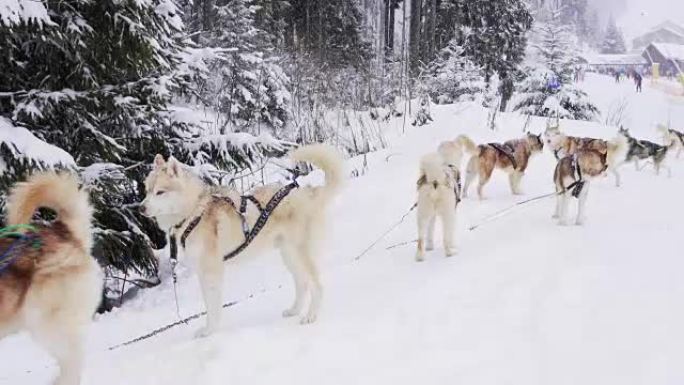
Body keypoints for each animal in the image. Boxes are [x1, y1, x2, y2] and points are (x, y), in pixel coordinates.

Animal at [140, 144, 342, 332]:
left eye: (160, 192)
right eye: (147, 190)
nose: (140, 208)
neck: (193, 213)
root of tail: (309, 192)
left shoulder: (211, 271)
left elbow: (212, 306)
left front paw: (209, 331)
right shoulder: (201, 271)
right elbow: (209, 304)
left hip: (301, 253)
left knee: (317, 286)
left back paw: (310, 316)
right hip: (289, 255)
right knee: (302, 283)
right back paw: (294, 310)